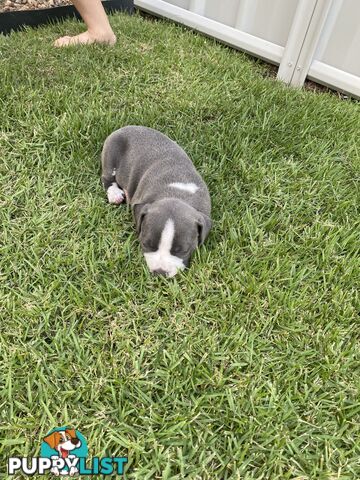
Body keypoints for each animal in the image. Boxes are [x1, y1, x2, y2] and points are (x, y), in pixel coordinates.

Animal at [101, 126, 211, 278]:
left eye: (183, 250)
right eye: (146, 244)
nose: (160, 273)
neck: (176, 194)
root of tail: (123, 127)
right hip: (110, 154)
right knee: (106, 177)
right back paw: (115, 194)